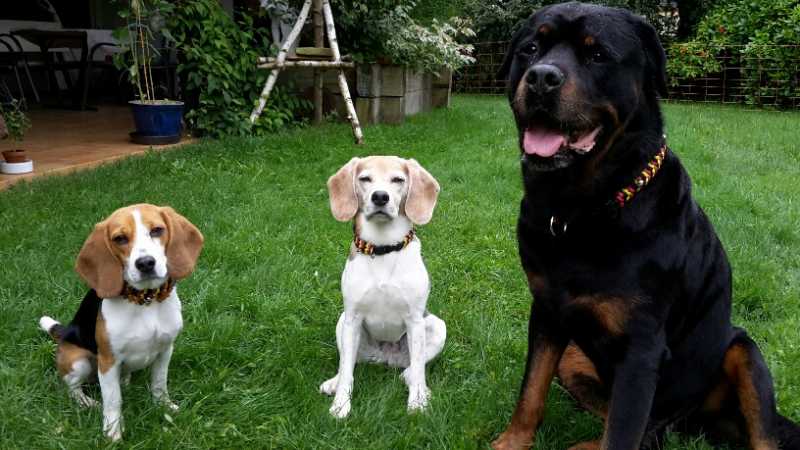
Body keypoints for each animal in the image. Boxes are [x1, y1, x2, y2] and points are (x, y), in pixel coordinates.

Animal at [38, 204, 203, 441]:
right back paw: (87, 402)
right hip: (78, 362)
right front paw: (113, 431)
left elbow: (159, 384)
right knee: (73, 388)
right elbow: (113, 399)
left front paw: (164, 407)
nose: (145, 263)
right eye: (120, 239)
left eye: (157, 230)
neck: (145, 302)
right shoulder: (108, 362)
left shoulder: (165, 350)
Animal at [319, 156, 446, 418]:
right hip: (343, 321)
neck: (382, 248)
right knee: (348, 364)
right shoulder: (353, 318)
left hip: (437, 326)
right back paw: (334, 382)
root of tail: (385, 357)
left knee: (413, 368)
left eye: (398, 179)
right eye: (365, 178)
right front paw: (340, 405)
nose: (380, 196)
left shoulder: (415, 320)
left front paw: (417, 403)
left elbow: (418, 369)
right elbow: (346, 371)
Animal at [490, 3, 800, 450]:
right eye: (530, 49)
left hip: (743, 351)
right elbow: (531, 390)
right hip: (575, 358)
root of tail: (694, 424)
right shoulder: (546, 312)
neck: (580, 210)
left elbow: (623, 431)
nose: (541, 77)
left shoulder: (642, 348)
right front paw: (510, 442)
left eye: (597, 54)